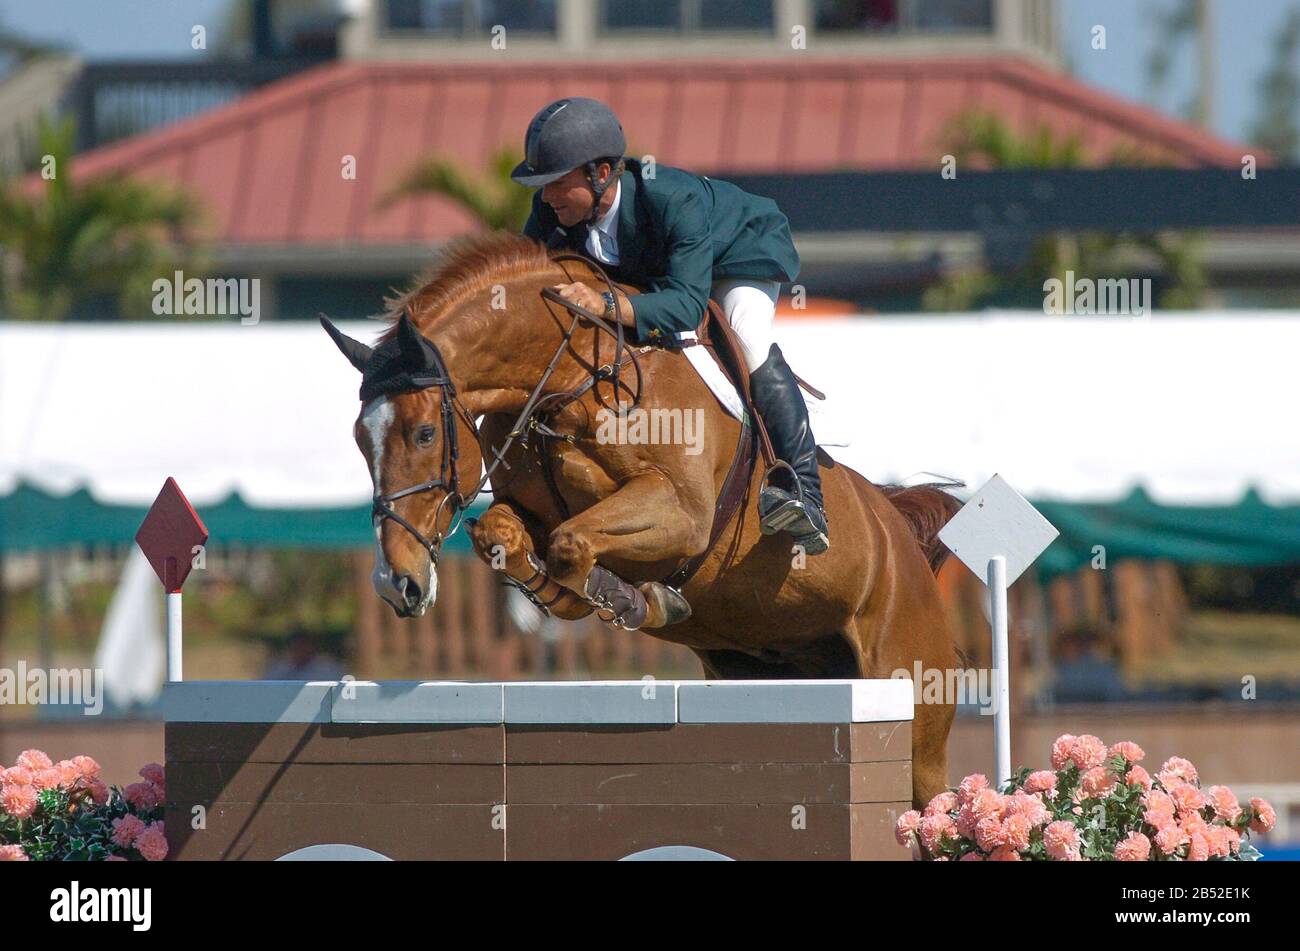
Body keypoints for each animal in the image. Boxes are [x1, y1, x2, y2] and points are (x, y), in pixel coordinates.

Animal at [319, 232, 961, 810]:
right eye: (358, 440)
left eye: (425, 434)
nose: (396, 584)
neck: (569, 382)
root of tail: (899, 533)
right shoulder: (530, 509)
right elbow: (505, 536)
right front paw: (600, 596)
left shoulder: (680, 512)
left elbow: (571, 542)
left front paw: (631, 598)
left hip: (912, 708)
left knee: (935, 805)